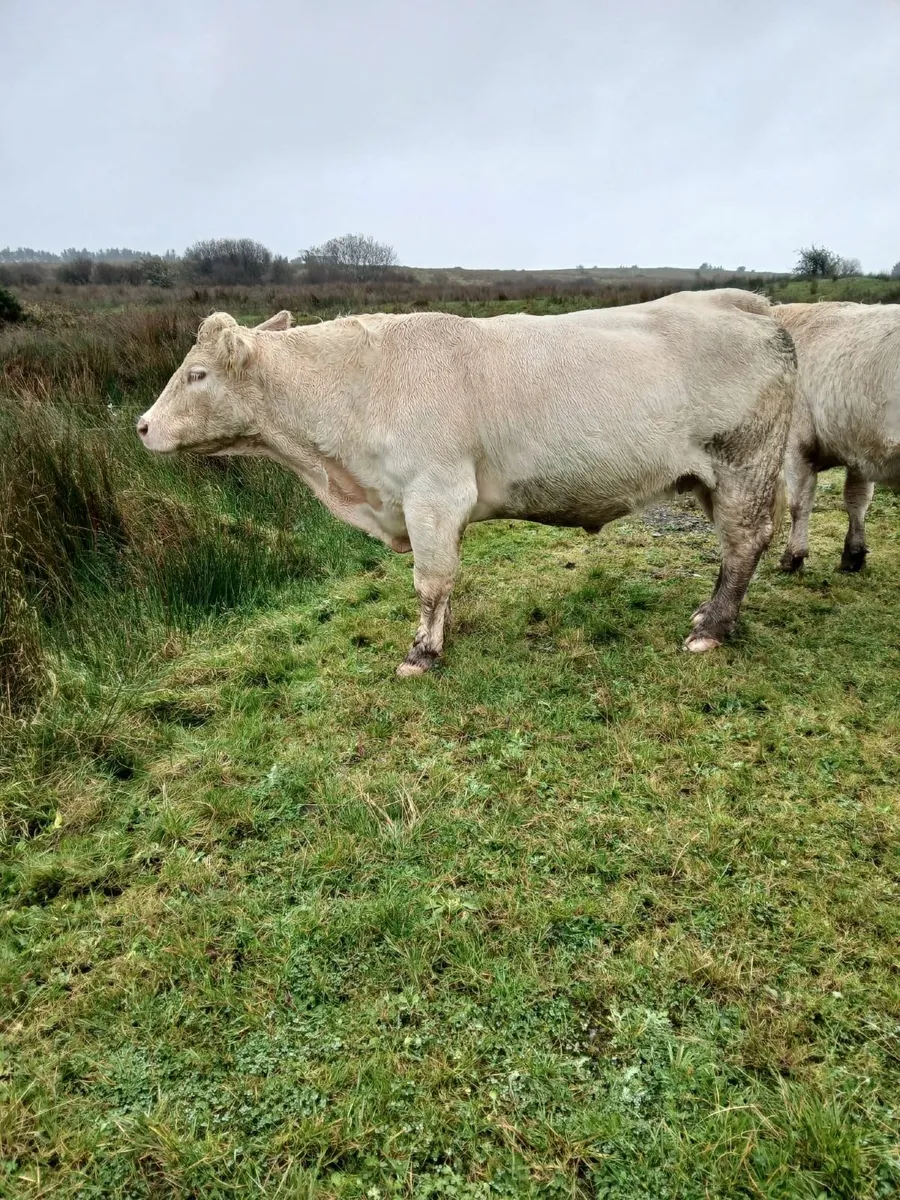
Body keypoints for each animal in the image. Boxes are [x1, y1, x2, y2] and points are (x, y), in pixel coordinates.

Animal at [136, 294, 796, 676]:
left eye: (197, 374)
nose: (141, 426)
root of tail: (753, 308)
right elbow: (444, 583)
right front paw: (437, 635)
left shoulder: (432, 494)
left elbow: (430, 581)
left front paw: (421, 654)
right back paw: (709, 614)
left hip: (743, 464)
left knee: (744, 543)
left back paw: (711, 630)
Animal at [770, 301, 900, 573]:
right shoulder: (861, 448)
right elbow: (857, 499)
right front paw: (853, 554)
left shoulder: (797, 445)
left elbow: (799, 503)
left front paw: (792, 556)